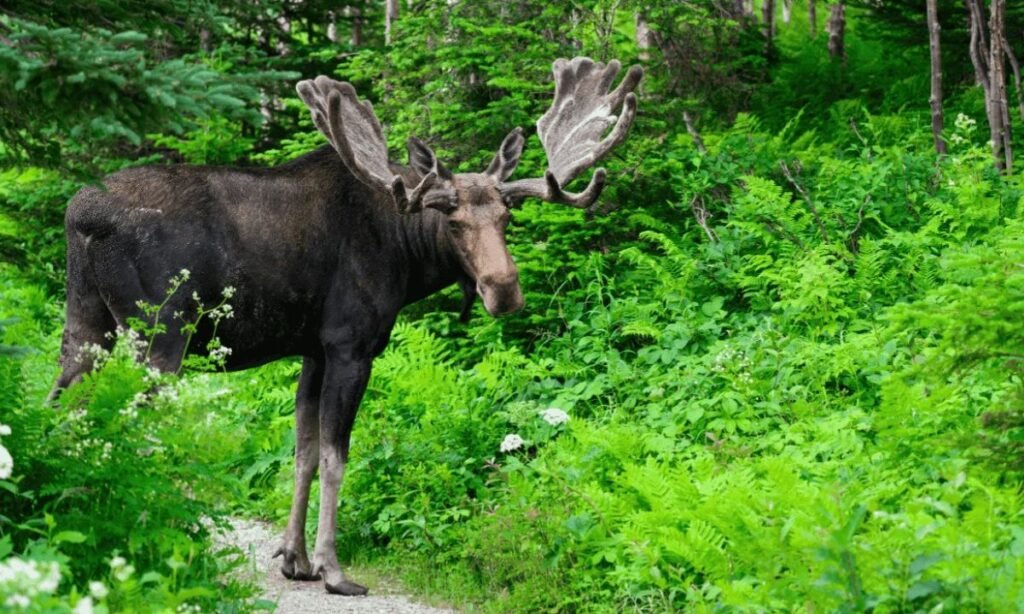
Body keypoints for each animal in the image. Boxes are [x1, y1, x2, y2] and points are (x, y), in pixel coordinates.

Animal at [50, 56, 642, 595]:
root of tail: (83, 217)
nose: (504, 289)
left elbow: (304, 452)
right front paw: (332, 569)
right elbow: (336, 457)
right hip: (159, 334)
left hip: (85, 325)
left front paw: (294, 559)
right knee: (131, 424)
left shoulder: (313, 349)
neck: (405, 257)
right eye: (452, 222)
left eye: (506, 217)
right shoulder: (351, 345)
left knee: (63, 406)